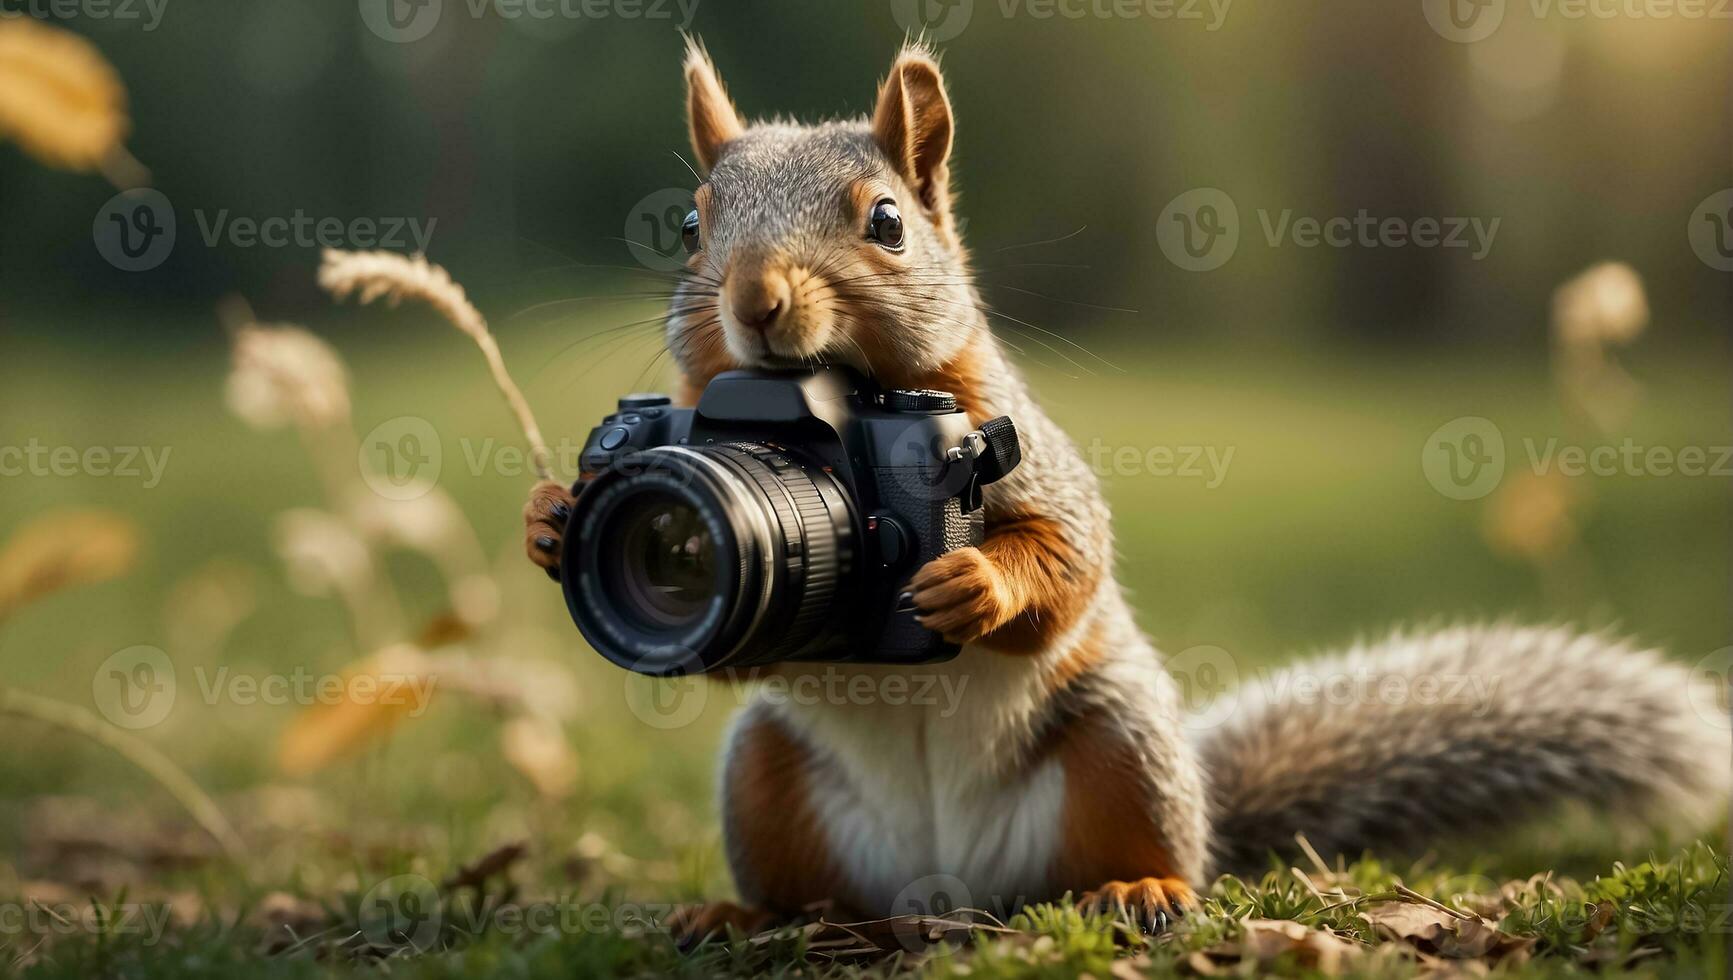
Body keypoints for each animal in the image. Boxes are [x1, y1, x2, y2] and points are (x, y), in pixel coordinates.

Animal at [523, 40, 1733, 936]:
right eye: (691, 223)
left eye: (886, 221)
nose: (756, 299)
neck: (826, 415)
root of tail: (948, 886)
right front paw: (549, 522)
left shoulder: (1013, 457)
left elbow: (1067, 554)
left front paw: (974, 586)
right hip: (766, 775)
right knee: (805, 884)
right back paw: (737, 912)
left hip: (1118, 745)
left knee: (1153, 851)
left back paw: (1141, 887)